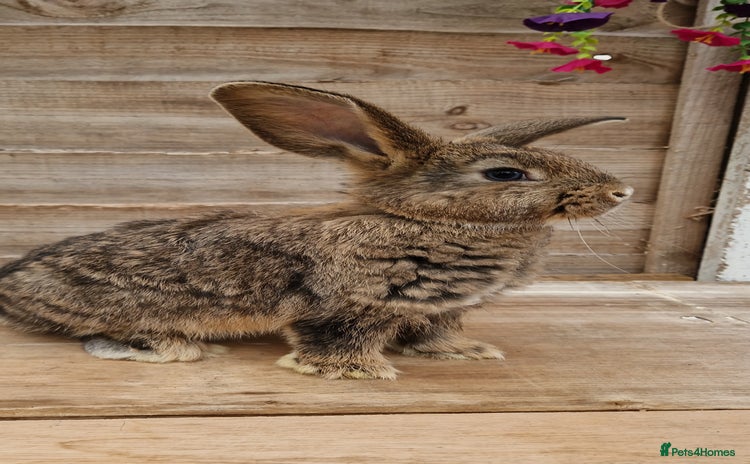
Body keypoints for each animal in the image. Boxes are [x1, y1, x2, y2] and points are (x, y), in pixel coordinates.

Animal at [0, 81, 633, 380]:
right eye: (506, 174)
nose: (620, 192)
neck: (425, 219)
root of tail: (10, 285)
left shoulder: (438, 310)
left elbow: (437, 334)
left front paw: (470, 353)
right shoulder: (355, 304)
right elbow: (336, 340)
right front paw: (358, 375)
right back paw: (174, 348)